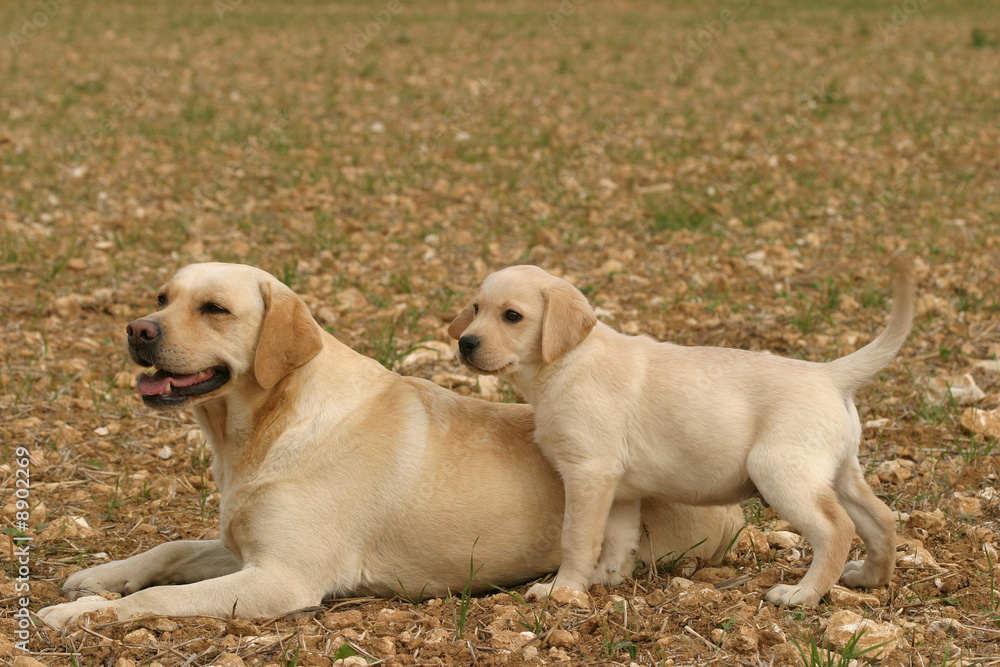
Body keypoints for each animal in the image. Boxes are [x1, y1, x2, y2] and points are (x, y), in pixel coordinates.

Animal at [37, 264, 744, 628]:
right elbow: (168, 550)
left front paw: (76, 615)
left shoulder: (281, 577)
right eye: (162, 297)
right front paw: (98, 577)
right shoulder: (244, 551)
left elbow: (157, 600)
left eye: (214, 308)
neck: (262, 428)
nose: (137, 330)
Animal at [450, 258, 916, 608]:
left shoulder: (588, 474)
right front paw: (607, 579)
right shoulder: (618, 488)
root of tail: (828, 373)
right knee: (880, 519)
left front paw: (563, 590)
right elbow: (618, 539)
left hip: (781, 473)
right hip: (838, 473)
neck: (568, 361)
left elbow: (577, 538)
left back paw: (803, 594)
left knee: (837, 529)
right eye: (475, 308)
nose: (465, 343)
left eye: (512, 316)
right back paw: (869, 577)